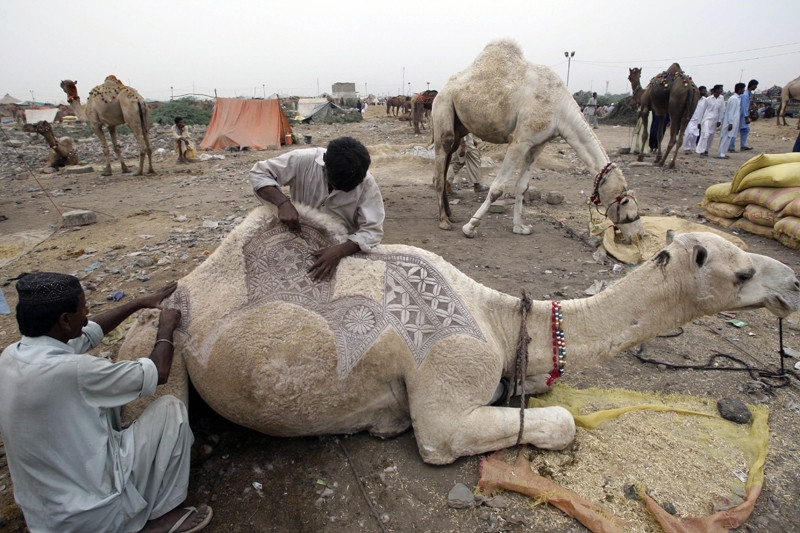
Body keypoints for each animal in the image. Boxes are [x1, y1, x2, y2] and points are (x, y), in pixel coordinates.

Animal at [119, 206, 800, 464]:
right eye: (741, 271)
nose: (790, 282)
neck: (497, 319)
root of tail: (188, 279)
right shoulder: (448, 387)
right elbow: (557, 422)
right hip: (152, 337)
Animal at [432, 40, 644, 240]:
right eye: (628, 212)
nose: (638, 235)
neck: (560, 109)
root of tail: (442, 89)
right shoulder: (520, 140)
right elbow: (498, 188)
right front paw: (470, 227)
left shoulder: (539, 143)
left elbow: (522, 186)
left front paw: (520, 227)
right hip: (443, 106)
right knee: (442, 160)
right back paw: (443, 221)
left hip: (460, 125)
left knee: (446, 162)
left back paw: (451, 216)